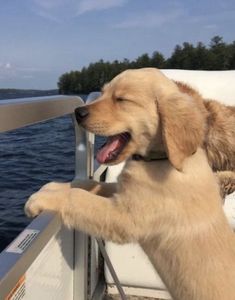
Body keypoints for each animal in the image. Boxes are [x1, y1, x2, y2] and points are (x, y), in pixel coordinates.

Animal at [25, 69, 235, 300]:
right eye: (103, 93)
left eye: (121, 99)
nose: (78, 112)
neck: (159, 159)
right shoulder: (124, 192)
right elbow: (89, 185)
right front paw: (57, 186)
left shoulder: (126, 216)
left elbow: (79, 198)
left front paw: (42, 198)